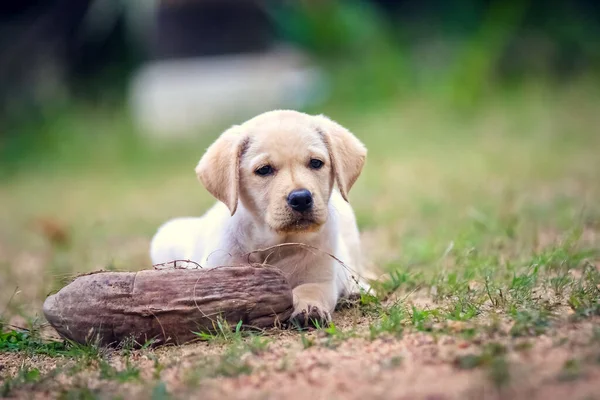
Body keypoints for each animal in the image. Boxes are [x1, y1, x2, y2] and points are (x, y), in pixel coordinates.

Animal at [149, 108, 370, 324]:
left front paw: (309, 308)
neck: (276, 243)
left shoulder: (321, 278)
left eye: (316, 163)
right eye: (264, 170)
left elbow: (310, 290)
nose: (301, 199)